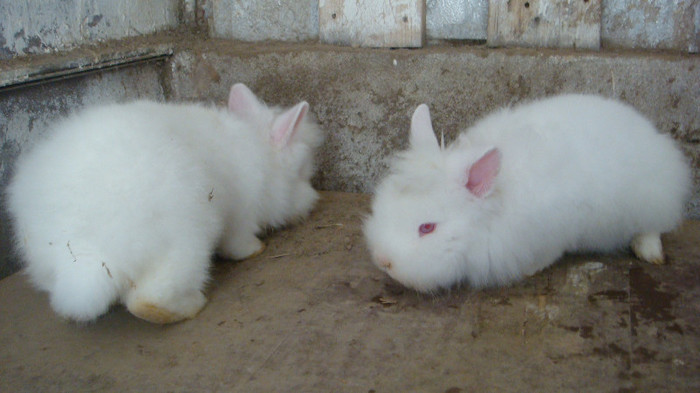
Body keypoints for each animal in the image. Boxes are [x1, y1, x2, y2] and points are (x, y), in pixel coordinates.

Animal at [6, 82, 324, 322]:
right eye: (302, 174)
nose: (313, 201)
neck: (257, 149)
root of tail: (84, 250)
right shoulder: (240, 216)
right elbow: (237, 243)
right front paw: (256, 249)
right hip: (186, 241)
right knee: (147, 300)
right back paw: (193, 304)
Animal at [364, 94, 692, 290]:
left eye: (427, 228)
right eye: (381, 208)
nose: (382, 260)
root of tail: (652, 134)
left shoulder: (553, 231)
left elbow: (547, 254)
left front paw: (529, 270)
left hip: (650, 200)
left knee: (652, 228)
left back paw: (649, 252)